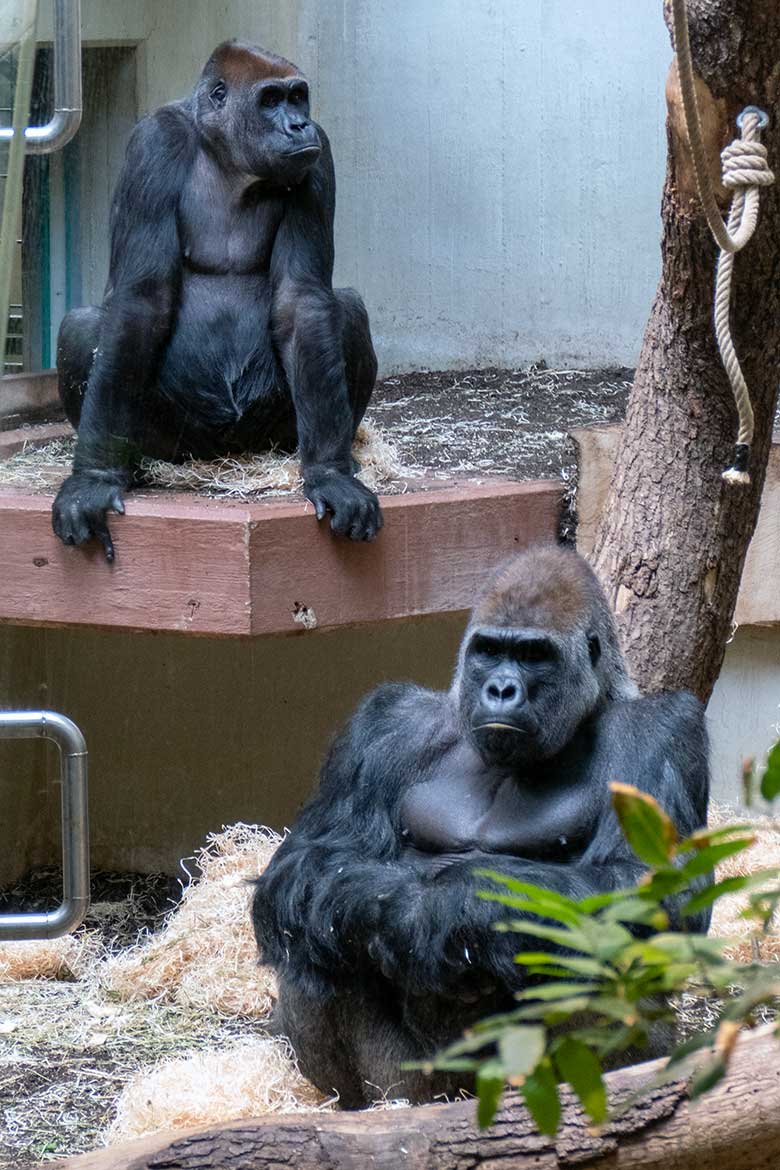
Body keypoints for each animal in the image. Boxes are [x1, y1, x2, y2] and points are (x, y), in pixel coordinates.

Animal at [51, 38, 381, 559]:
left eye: (298, 97)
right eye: (270, 100)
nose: (299, 125)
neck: (225, 155)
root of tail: (223, 455)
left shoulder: (319, 152)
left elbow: (303, 300)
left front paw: (331, 475)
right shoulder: (153, 147)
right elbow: (140, 303)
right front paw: (93, 479)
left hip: (268, 437)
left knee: (345, 309)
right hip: (176, 444)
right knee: (83, 327)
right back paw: (132, 466)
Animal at [253, 545, 711, 1104]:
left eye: (535, 656)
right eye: (489, 651)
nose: (501, 689)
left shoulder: (665, 729)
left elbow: (647, 890)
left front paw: (447, 905)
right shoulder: (387, 721)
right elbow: (310, 864)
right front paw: (393, 904)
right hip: (419, 1084)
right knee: (311, 932)